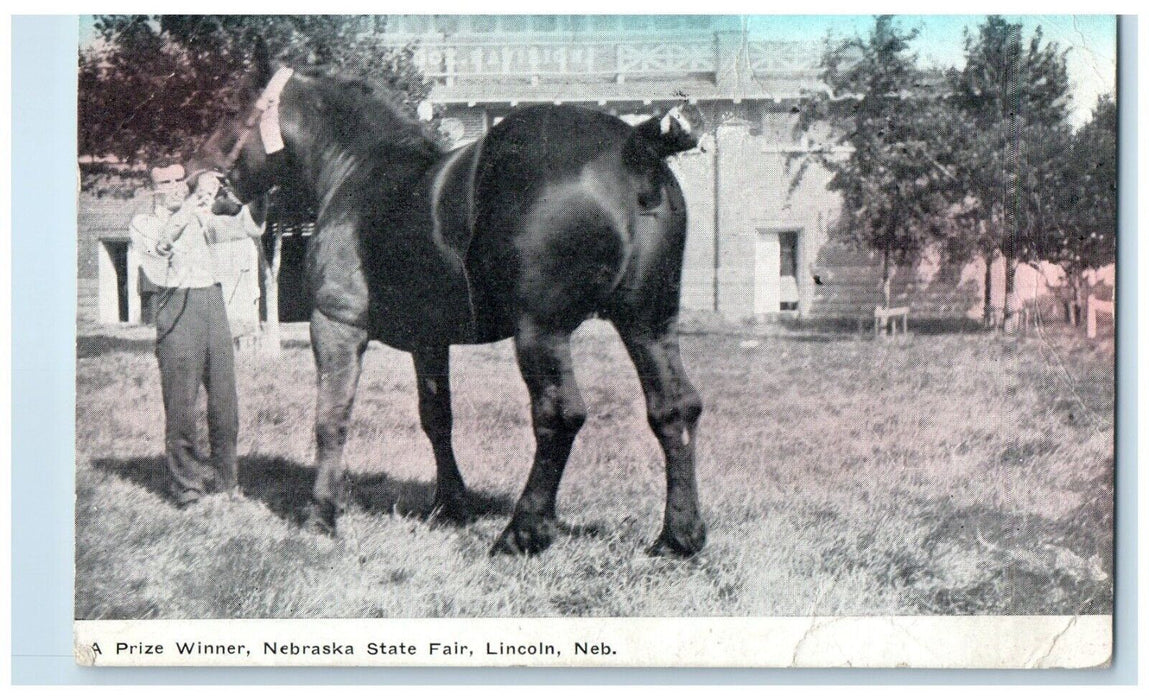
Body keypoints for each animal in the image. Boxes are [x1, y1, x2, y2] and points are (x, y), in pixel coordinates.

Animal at [193, 54, 706, 556]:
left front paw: (321, 515)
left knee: (560, 415)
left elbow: (331, 417)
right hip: (647, 322)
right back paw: (678, 536)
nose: (197, 176)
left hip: (542, 331)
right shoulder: (430, 341)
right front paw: (451, 504)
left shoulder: (336, 324)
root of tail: (632, 145)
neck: (357, 170)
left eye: (233, 111)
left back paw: (523, 531)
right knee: (674, 407)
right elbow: (437, 417)